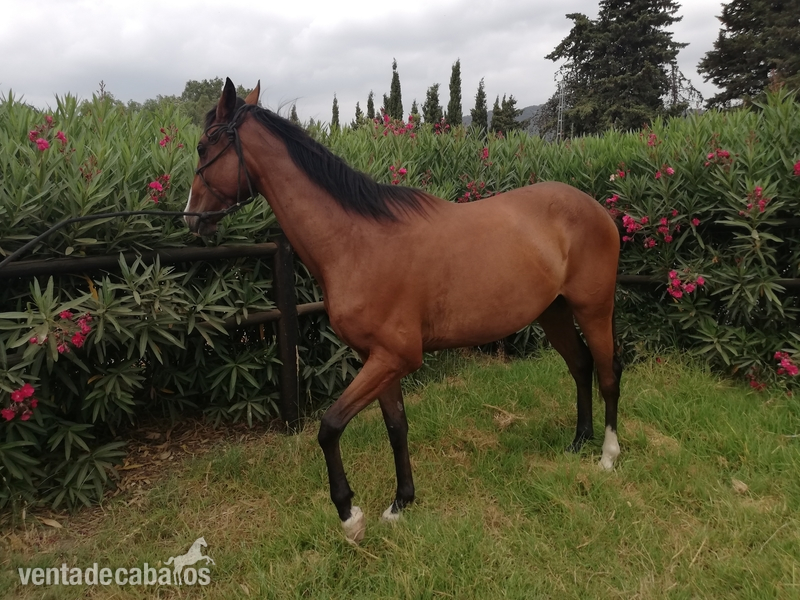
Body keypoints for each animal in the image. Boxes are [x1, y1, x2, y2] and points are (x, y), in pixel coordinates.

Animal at [185, 78, 622, 543]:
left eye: (202, 146)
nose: (191, 217)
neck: (357, 242)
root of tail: (597, 208)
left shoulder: (394, 358)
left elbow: (330, 426)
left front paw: (350, 515)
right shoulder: (378, 359)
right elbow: (396, 427)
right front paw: (400, 504)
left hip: (594, 309)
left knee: (608, 373)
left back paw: (607, 455)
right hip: (553, 312)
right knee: (580, 366)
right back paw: (578, 442)